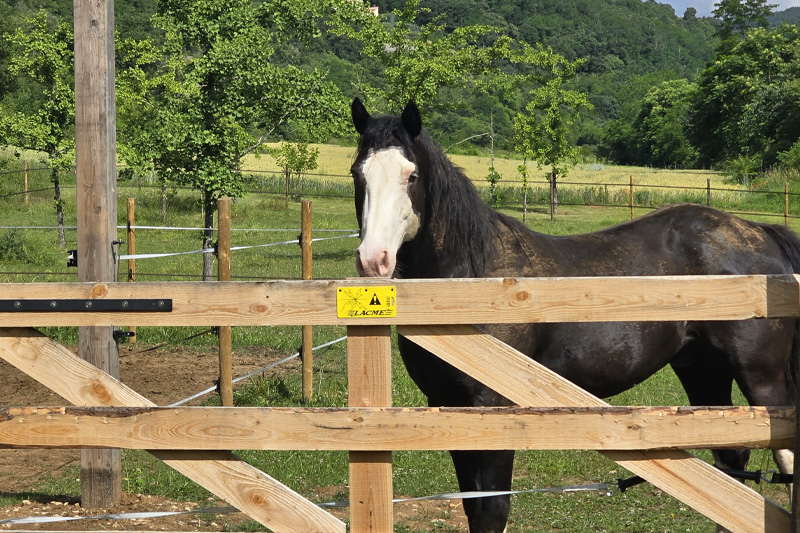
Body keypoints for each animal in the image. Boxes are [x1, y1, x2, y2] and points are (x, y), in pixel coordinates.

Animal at [349, 97, 799, 533]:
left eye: (411, 176)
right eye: (358, 174)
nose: (374, 259)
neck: (475, 278)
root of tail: (760, 232)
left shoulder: (496, 409)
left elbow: (493, 512)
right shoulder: (448, 406)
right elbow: (474, 510)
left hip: (761, 378)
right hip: (702, 369)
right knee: (732, 467)